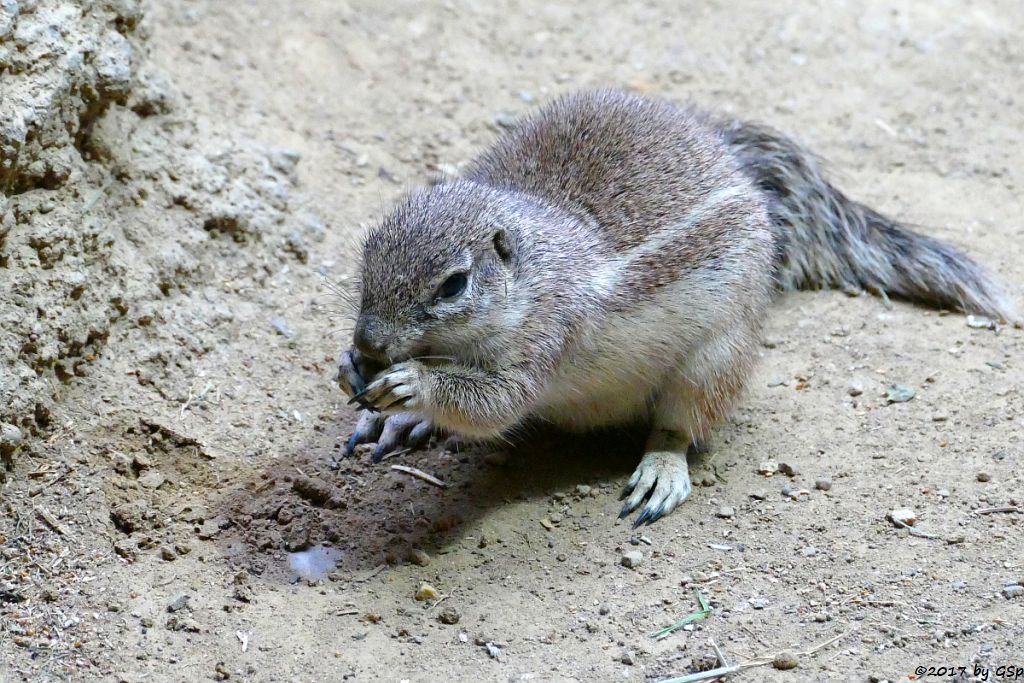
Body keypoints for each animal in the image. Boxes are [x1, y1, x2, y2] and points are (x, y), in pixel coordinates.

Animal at [337, 89, 1015, 528]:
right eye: (368, 247)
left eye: (454, 285)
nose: (369, 343)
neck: (534, 267)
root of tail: (727, 152)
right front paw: (358, 375)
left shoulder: (547, 334)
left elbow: (495, 403)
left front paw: (414, 385)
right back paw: (402, 423)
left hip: (715, 358)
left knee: (682, 422)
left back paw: (661, 468)